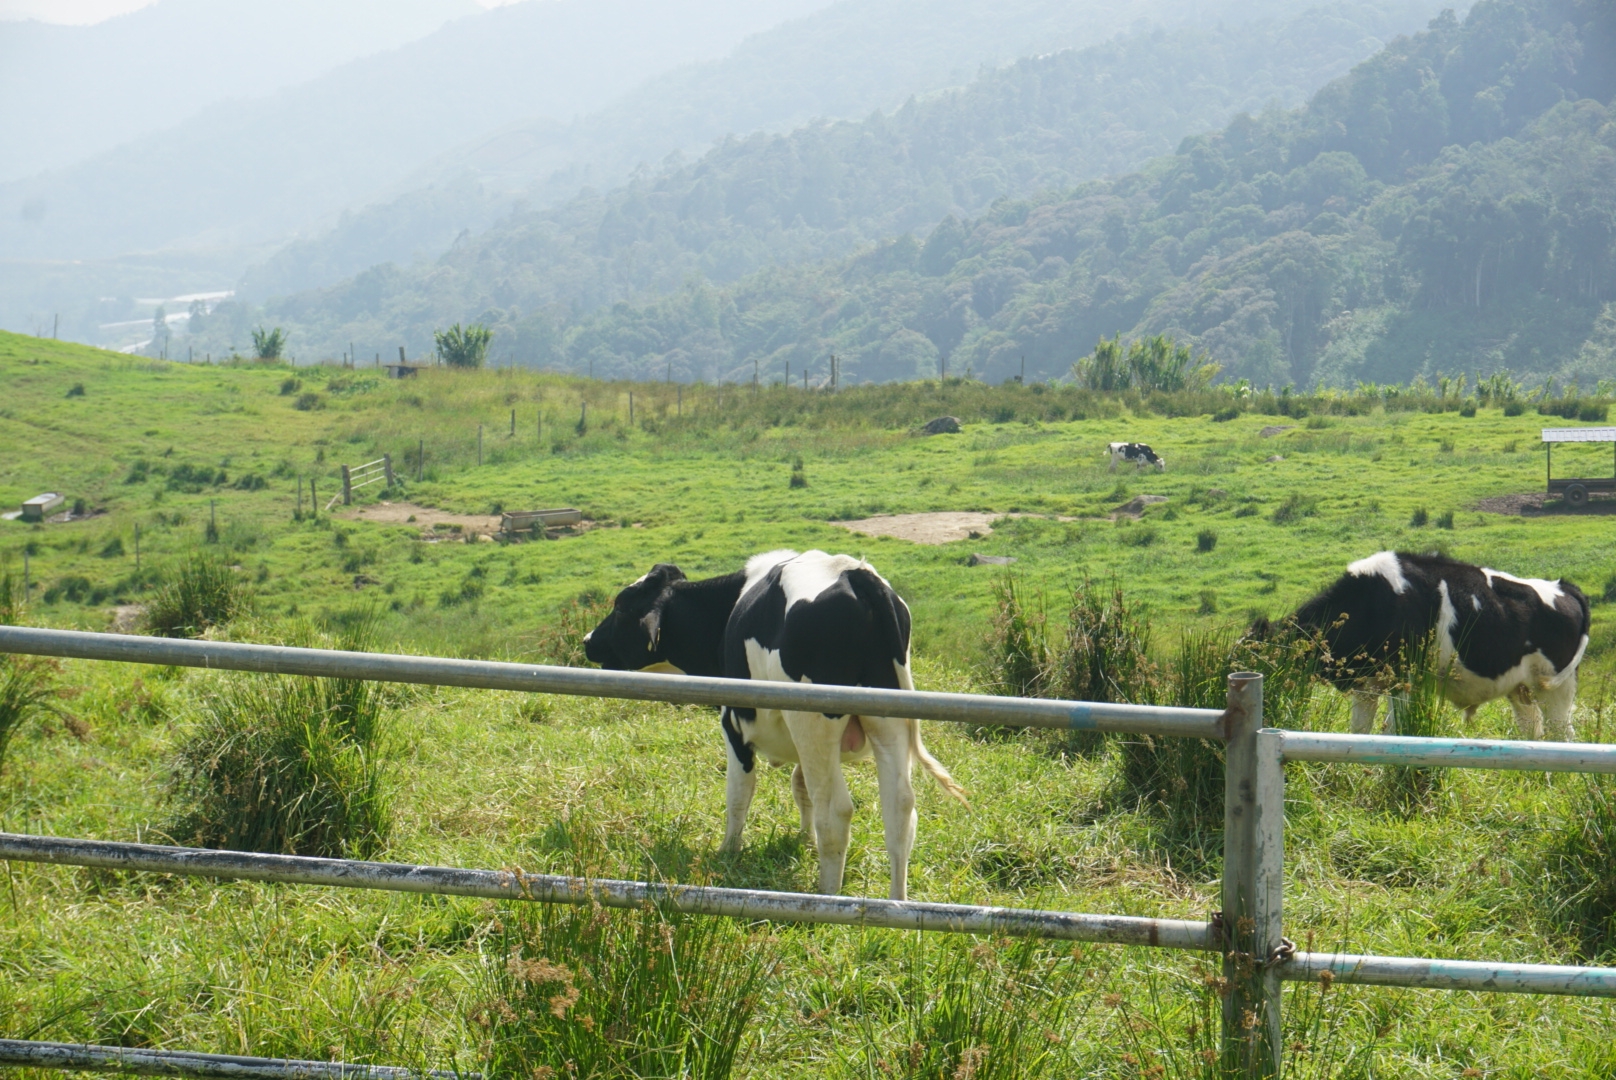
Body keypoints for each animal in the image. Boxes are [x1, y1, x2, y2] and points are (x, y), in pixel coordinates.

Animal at [581, 543, 956, 898]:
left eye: (621, 607)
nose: (587, 641)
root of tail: (855, 574)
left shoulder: (733, 723)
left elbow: (739, 793)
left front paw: (728, 851)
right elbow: (800, 786)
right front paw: (804, 839)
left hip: (814, 722)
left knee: (836, 811)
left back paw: (829, 897)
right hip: (887, 720)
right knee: (900, 809)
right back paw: (896, 901)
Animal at [1247, 552, 1590, 737]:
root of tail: (1564, 587)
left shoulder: (1403, 676)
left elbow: (1395, 728)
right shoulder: (1367, 682)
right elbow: (1361, 730)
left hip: (1556, 687)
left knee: (1562, 732)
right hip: (1520, 689)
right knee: (1532, 728)